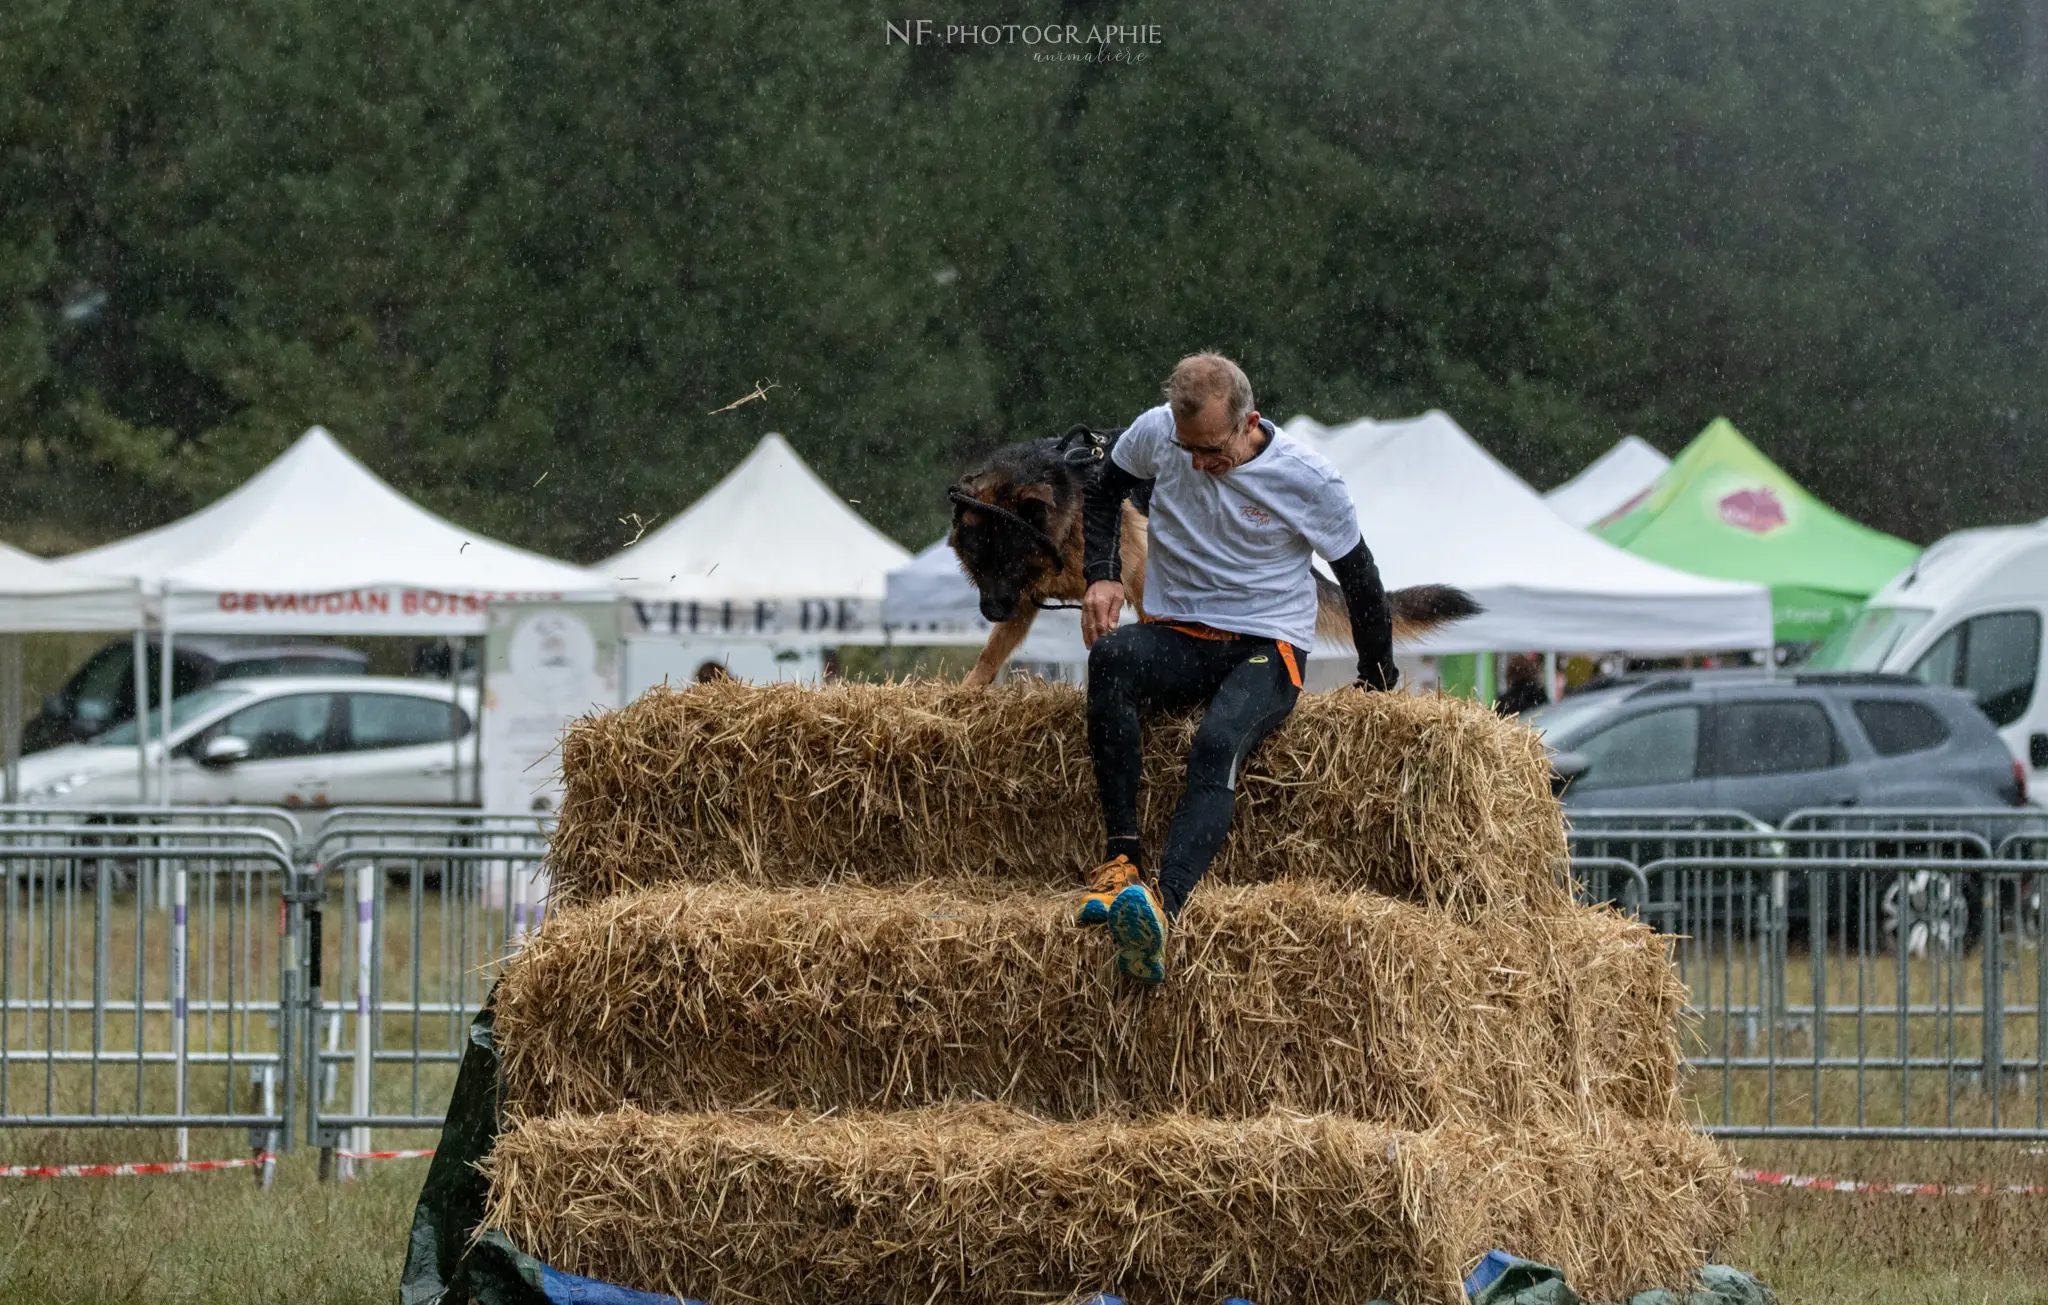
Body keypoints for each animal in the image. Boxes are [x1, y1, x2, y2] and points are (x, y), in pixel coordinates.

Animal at [950, 430, 1482, 692]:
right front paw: (966, 691)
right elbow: (992, 651)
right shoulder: (1022, 601)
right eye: (978, 562)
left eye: (1010, 557)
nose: (989, 610)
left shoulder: (1135, 567)